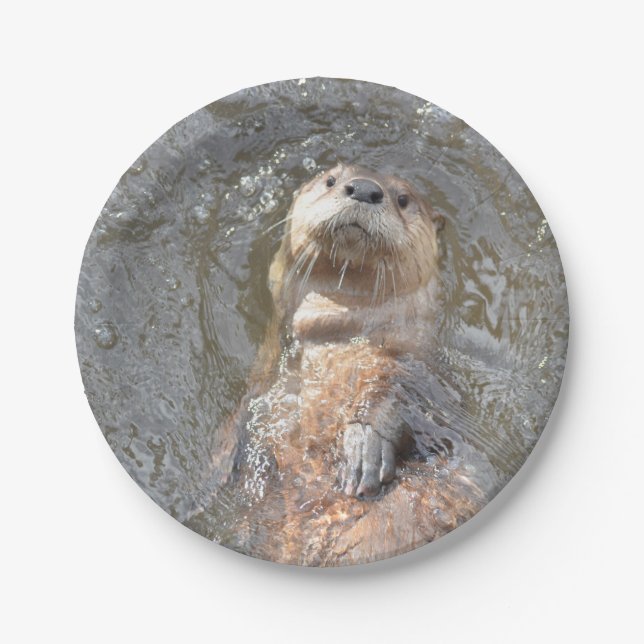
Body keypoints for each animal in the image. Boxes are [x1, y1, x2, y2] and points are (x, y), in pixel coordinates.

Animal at [191, 163, 489, 565]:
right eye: (331, 180)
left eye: (403, 198)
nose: (364, 188)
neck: (337, 334)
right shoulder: (265, 373)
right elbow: (243, 411)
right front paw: (214, 472)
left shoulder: (420, 367)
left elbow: (396, 393)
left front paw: (364, 446)